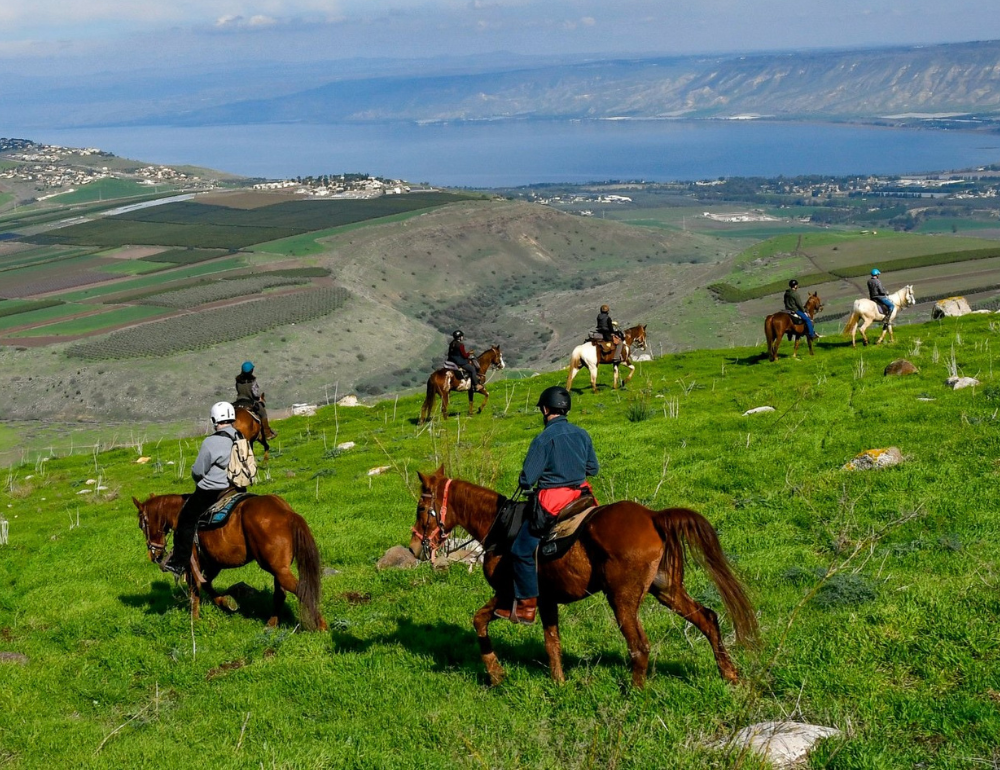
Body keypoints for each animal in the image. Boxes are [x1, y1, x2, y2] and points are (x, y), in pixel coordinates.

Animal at [131, 492, 326, 632]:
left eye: (141, 524)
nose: (154, 555)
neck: (180, 513)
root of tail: (286, 512)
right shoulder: (213, 563)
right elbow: (207, 584)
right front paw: (227, 603)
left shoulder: (194, 562)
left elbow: (195, 589)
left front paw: (195, 620)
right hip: (279, 568)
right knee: (281, 593)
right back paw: (271, 624)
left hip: (276, 568)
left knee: (301, 590)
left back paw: (320, 625)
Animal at [408, 464, 756, 688]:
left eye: (421, 509)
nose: (414, 547)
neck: (499, 527)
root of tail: (653, 517)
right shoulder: (546, 601)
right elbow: (552, 642)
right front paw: (559, 684)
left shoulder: (508, 595)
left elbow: (479, 620)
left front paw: (496, 675)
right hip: (667, 589)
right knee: (707, 618)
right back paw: (729, 674)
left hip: (622, 599)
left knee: (640, 645)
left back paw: (635, 693)